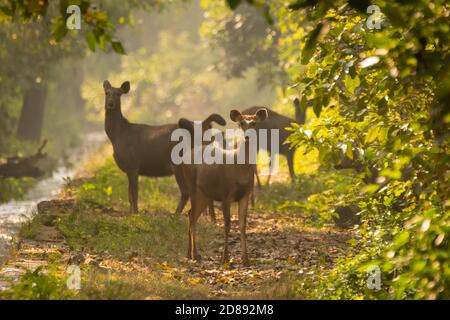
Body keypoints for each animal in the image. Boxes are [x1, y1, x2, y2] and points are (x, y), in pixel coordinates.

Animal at [103, 80, 227, 215]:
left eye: (118, 94)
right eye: (107, 92)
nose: (110, 103)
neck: (118, 136)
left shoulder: (133, 164)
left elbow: (134, 194)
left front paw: (136, 214)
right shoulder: (129, 168)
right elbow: (129, 195)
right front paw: (131, 213)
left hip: (178, 163)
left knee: (186, 191)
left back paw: (176, 215)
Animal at [179, 107, 268, 264]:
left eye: (254, 123)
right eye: (241, 123)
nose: (247, 136)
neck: (240, 169)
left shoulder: (245, 195)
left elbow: (242, 225)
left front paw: (245, 258)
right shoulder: (226, 193)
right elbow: (227, 225)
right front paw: (225, 257)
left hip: (205, 193)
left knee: (190, 214)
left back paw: (189, 253)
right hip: (193, 187)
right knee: (192, 217)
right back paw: (195, 254)